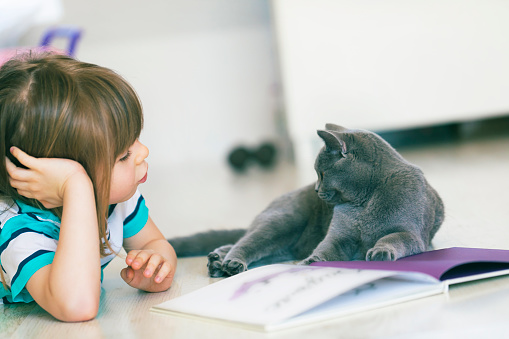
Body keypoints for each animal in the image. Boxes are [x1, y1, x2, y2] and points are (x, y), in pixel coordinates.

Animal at [169, 123, 442, 278]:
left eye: (322, 173)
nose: (316, 188)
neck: (364, 203)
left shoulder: (411, 233)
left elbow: (393, 238)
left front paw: (380, 252)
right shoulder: (339, 236)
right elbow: (326, 248)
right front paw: (311, 262)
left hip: (283, 243)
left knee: (248, 245)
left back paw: (218, 260)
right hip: (282, 222)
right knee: (245, 242)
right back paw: (229, 263)